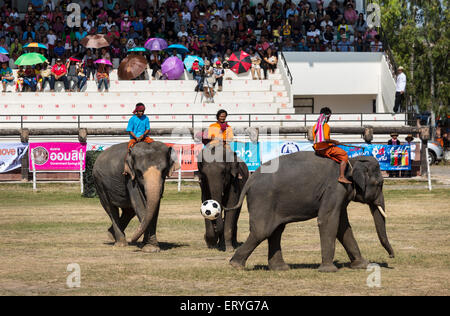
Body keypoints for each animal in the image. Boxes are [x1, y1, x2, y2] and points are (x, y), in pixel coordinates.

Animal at [227, 152, 396, 270]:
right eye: (380, 184)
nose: (392, 256)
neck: (351, 161)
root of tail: (250, 180)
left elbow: (343, 226)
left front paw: (362, 265)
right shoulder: (335, 188)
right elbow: (327, 220)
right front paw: (329, 270)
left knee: (276, 231)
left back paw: (280, 268)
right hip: (263, 199)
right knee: (262, 231)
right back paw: (235, 265)